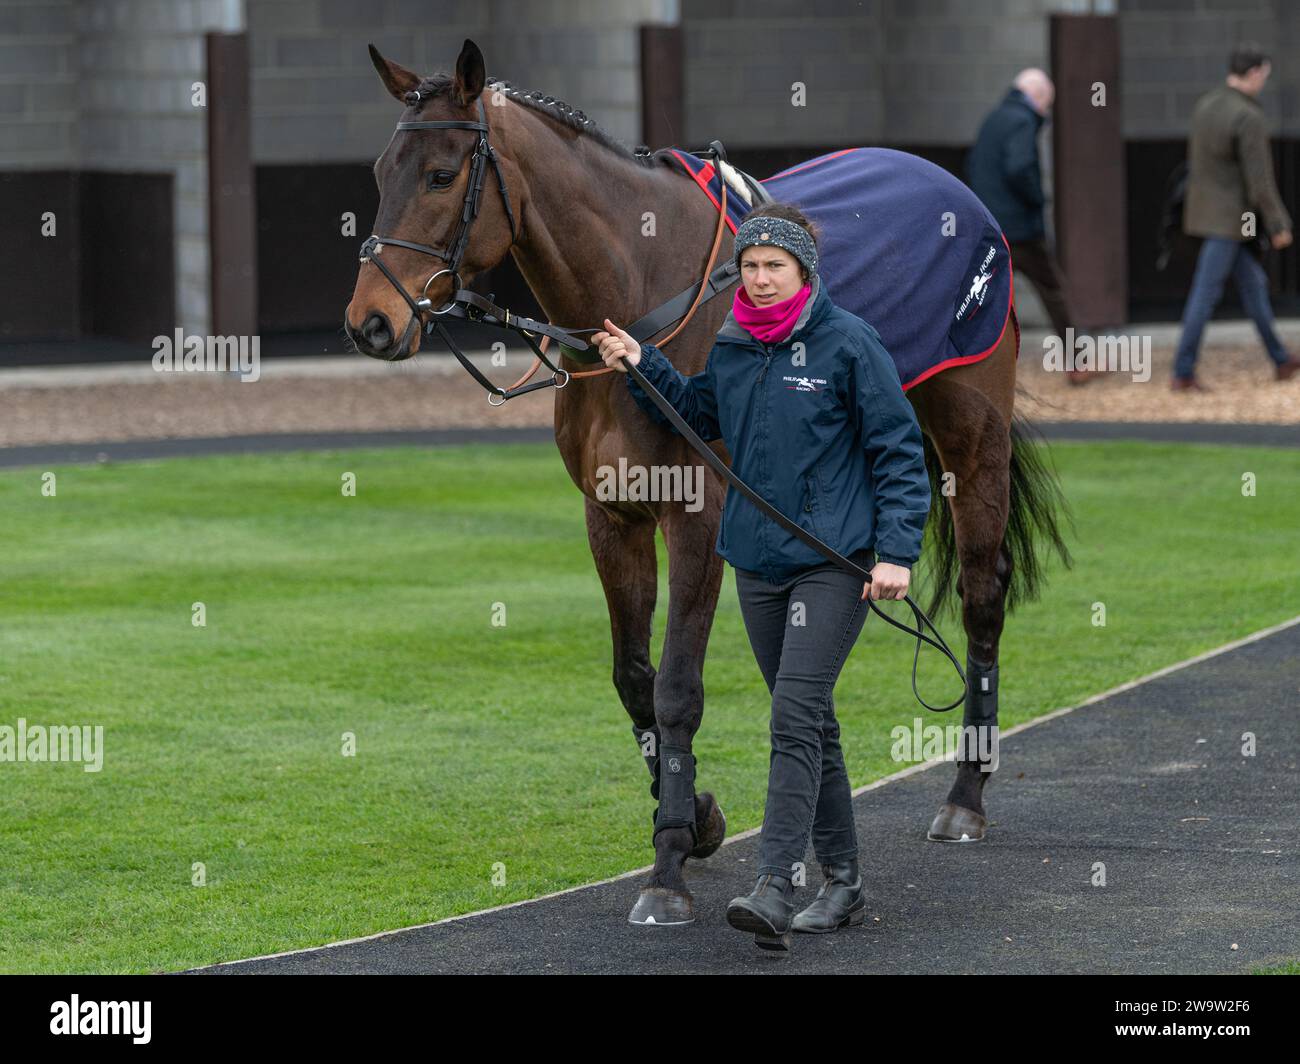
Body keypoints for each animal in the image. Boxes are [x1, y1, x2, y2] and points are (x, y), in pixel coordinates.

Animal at [343, 37, 1066, 926]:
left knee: (981, 596)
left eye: (443, 175)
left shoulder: (700, 514)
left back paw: (965, 794)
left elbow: (680, 689)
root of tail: (950, 185)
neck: (641, 291)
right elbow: (635, 680)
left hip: (971, 430)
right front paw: (695, 819)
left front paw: (666, 870)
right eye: (382, 171)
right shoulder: (612, 515)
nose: (371, 323)